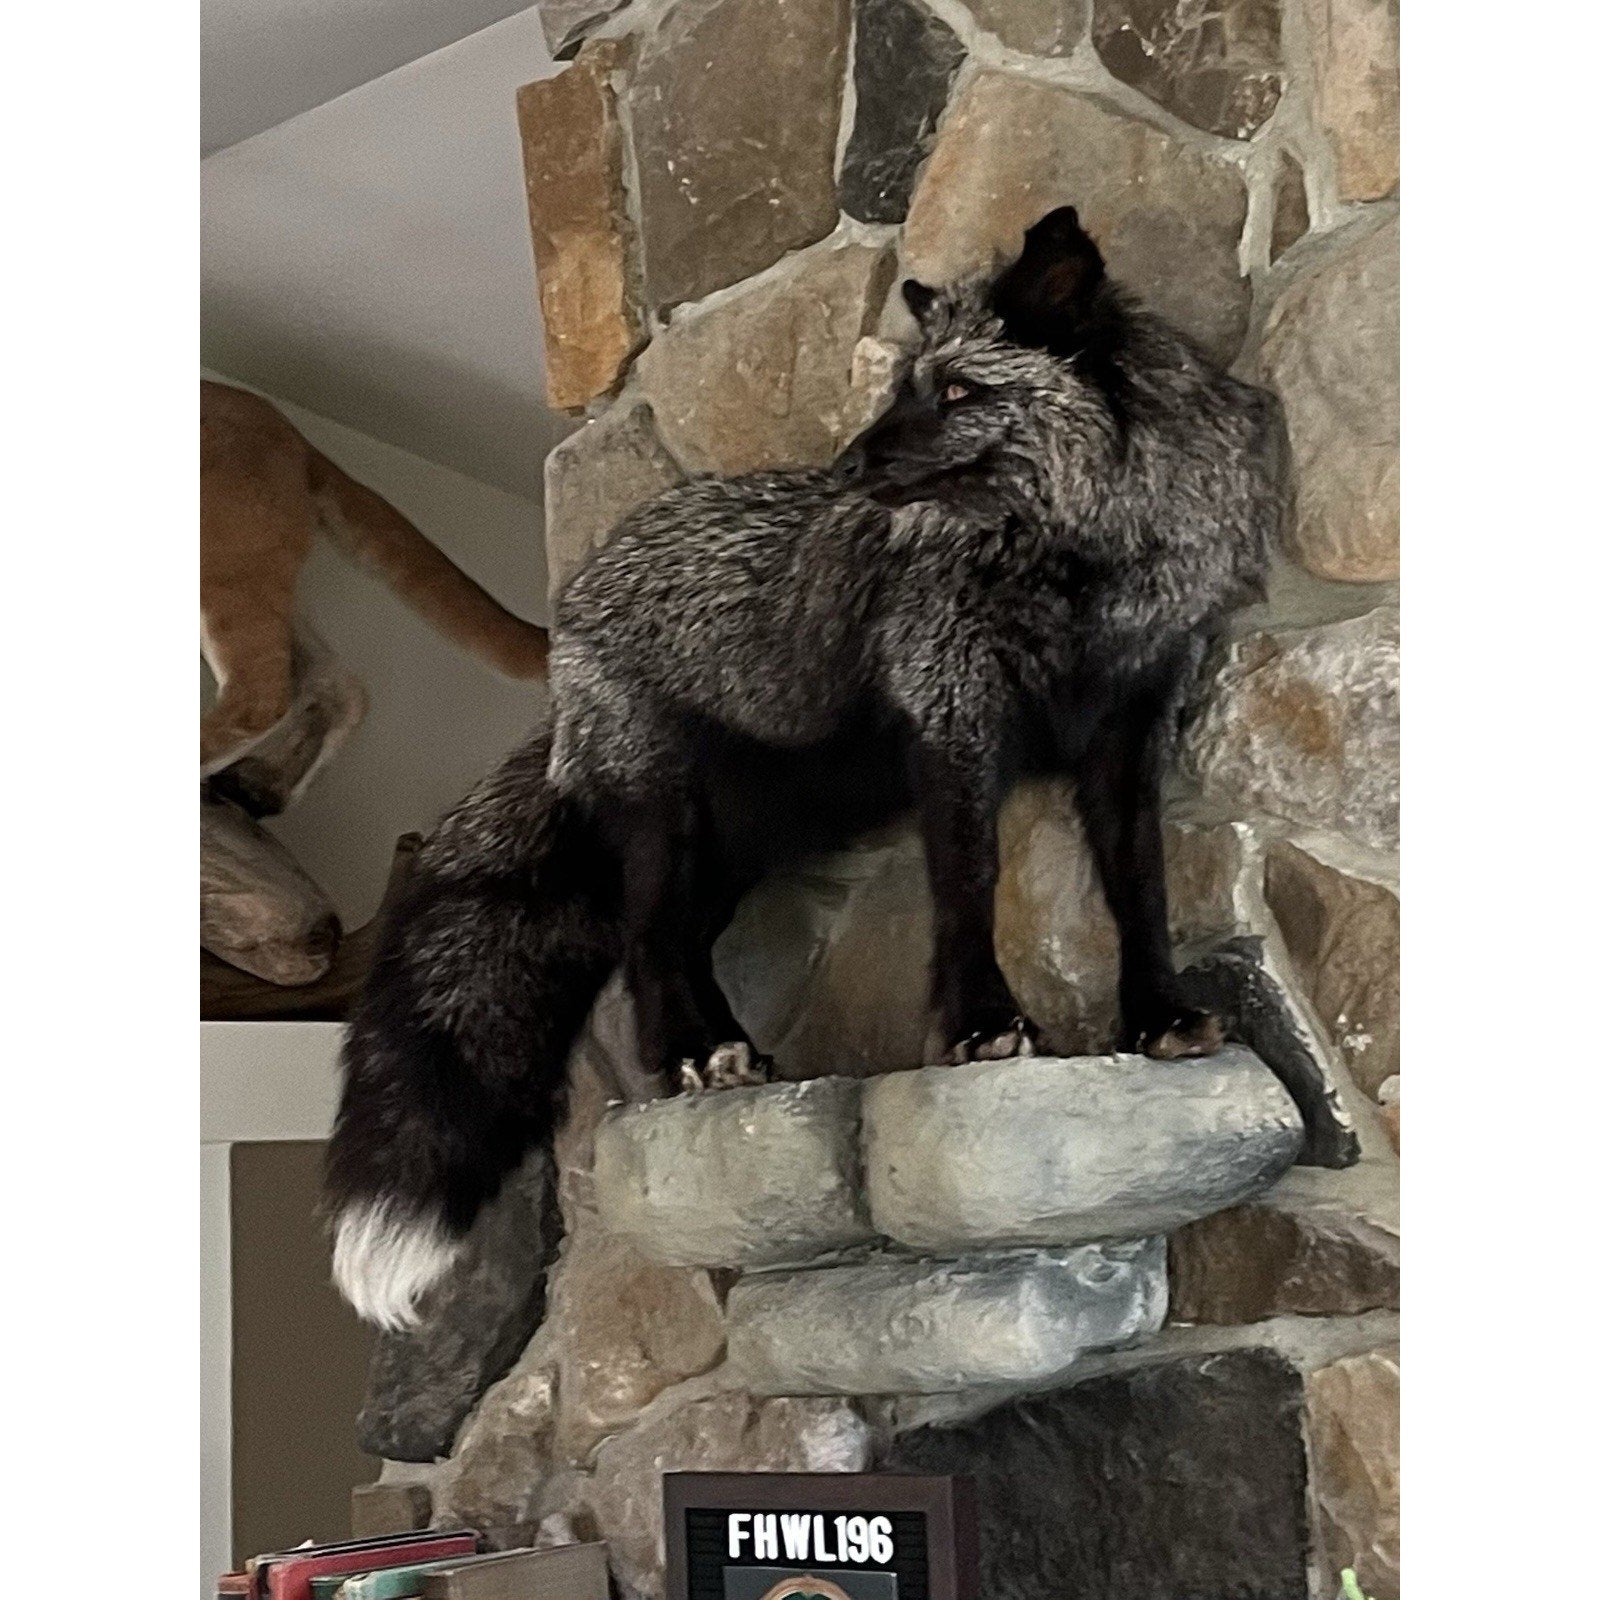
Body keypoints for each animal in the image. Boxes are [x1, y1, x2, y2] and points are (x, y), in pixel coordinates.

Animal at [325, 208, 1283, 1330]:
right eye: (902, 387)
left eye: (959, 391)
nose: (847, 464)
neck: (1077, 569)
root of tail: (570, 625)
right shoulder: (954, 715)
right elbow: (970, 887)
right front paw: (982, 1024)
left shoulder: (1127, 728)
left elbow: (1140, 887)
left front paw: (1158, 1014)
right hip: (669, 820)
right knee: (646, 946)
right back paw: (691, 1059)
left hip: (756, 836)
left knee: (678, 941)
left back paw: (722, 1053)